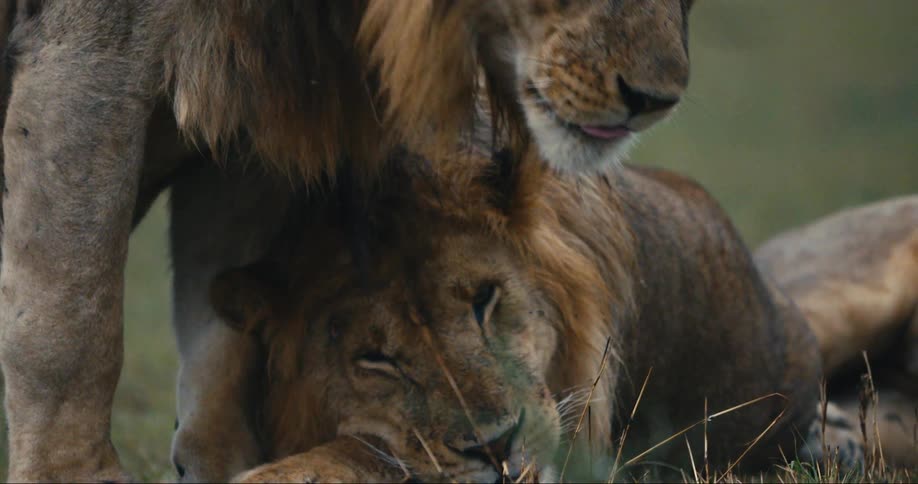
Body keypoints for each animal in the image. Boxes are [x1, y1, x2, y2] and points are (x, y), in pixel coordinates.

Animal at [0, 0, 695, 481]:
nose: (656, 100)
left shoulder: (247, 119)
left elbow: (221, 335)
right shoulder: (89, 52)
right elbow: (68, 325)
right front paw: (72, 475)